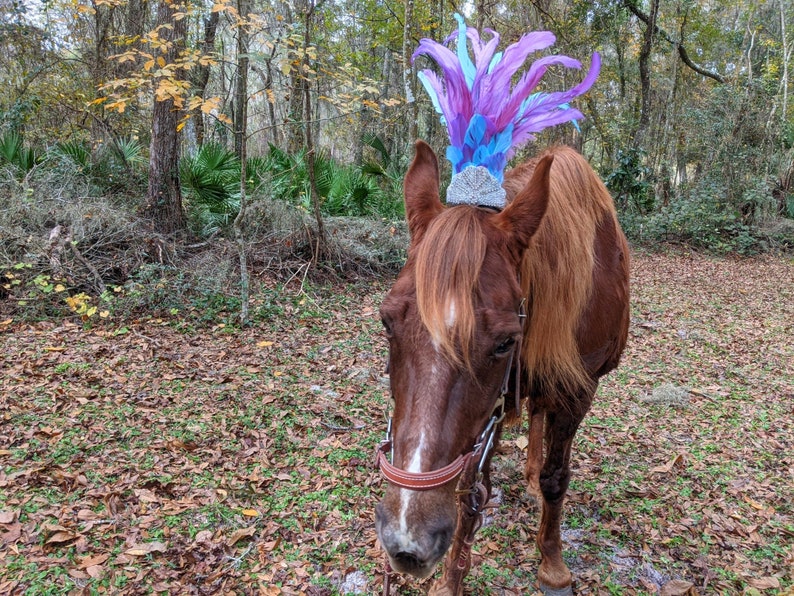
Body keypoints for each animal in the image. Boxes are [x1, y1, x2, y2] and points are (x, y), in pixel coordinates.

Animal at [374, 140, 630, 595]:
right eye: (387, 322)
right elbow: (469, 489)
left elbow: (556, 477)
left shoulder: (578, 390)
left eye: (505, 342)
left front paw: (552, 562)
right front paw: (451, 580)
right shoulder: (488, 410)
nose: (406, 541)